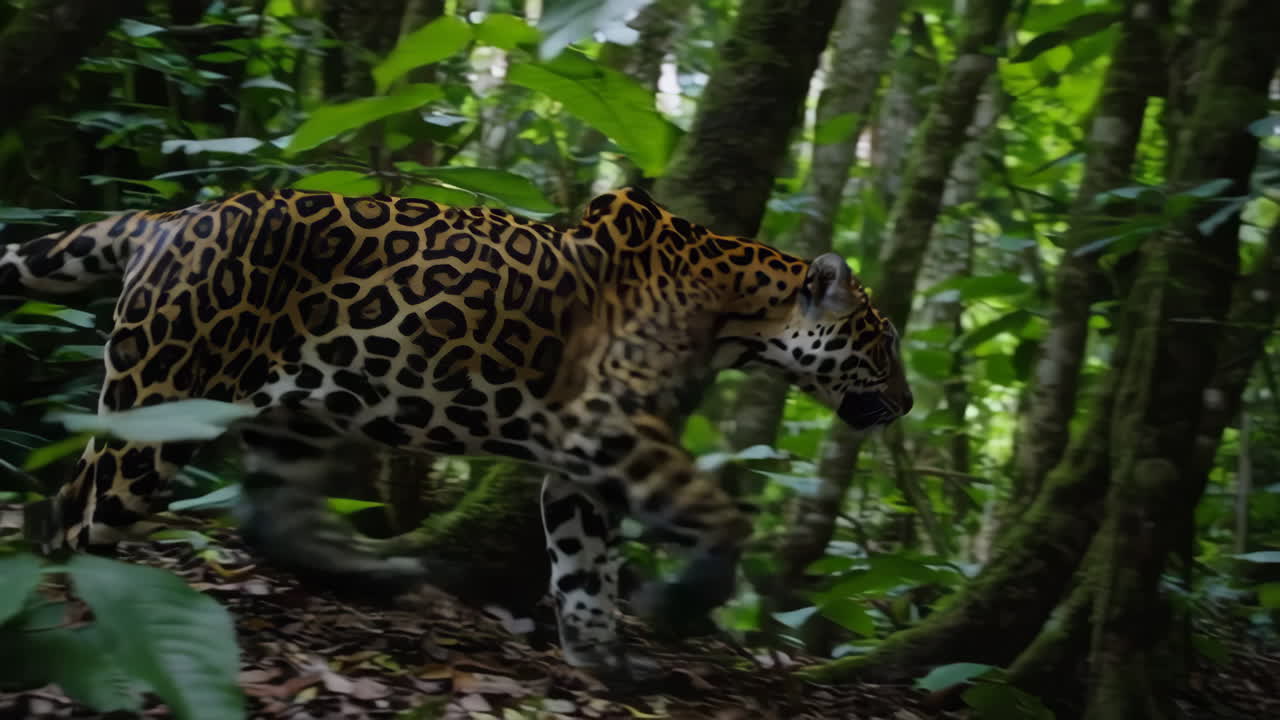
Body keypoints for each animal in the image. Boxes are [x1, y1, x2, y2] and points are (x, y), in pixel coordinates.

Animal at [0, 186, 912, 674]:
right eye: (885, 339)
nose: (906, 403)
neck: (737, 311)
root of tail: (169, 218)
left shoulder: (579, 460)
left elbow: (583, 565)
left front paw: (601, 659)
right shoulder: (605, 422)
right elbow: (717, 514)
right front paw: (684, 598)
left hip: (290, 412)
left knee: (268, 511)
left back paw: (374, 571)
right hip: (161, 401)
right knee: (67, 516)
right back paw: (70, 619)